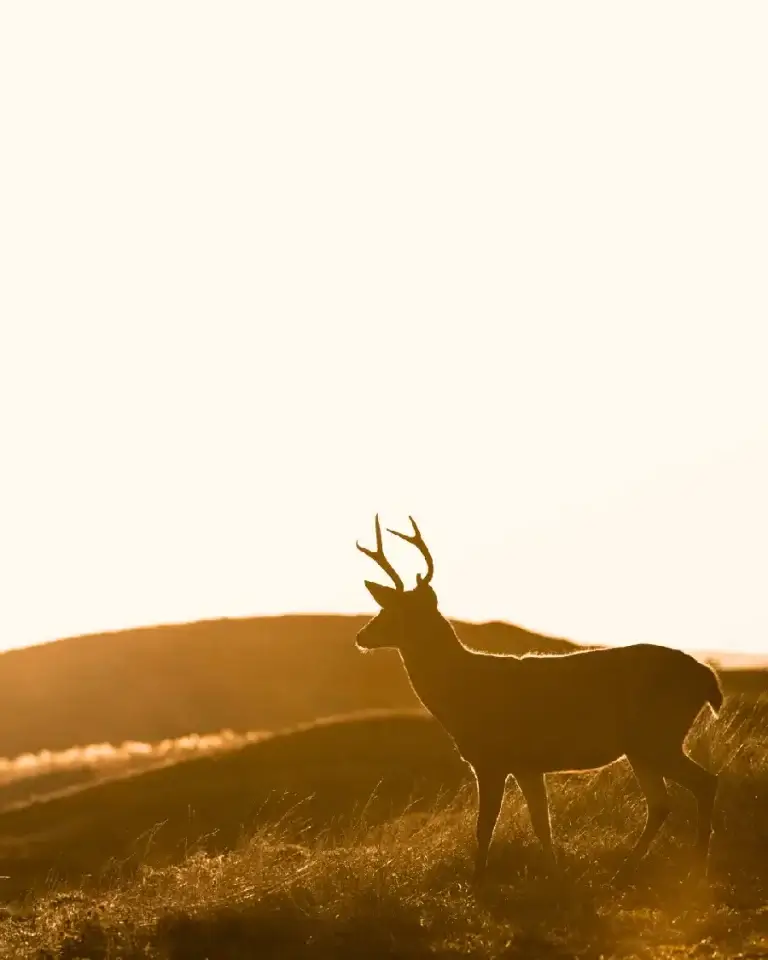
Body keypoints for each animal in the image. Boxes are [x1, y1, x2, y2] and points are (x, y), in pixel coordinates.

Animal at [355, 515, 722, 886]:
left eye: (399, 611)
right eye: (385, 606)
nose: (361, 635)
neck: (463, 690)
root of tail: (708, 677)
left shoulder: (492, 759)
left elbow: (484, 827)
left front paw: (477, 881)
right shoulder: (527, 765)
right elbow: (542, 824)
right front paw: (554, 874)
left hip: (657, 737)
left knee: (704, 783)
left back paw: (698, 867)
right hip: (643, 747)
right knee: (662, 802)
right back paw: (626, 871)